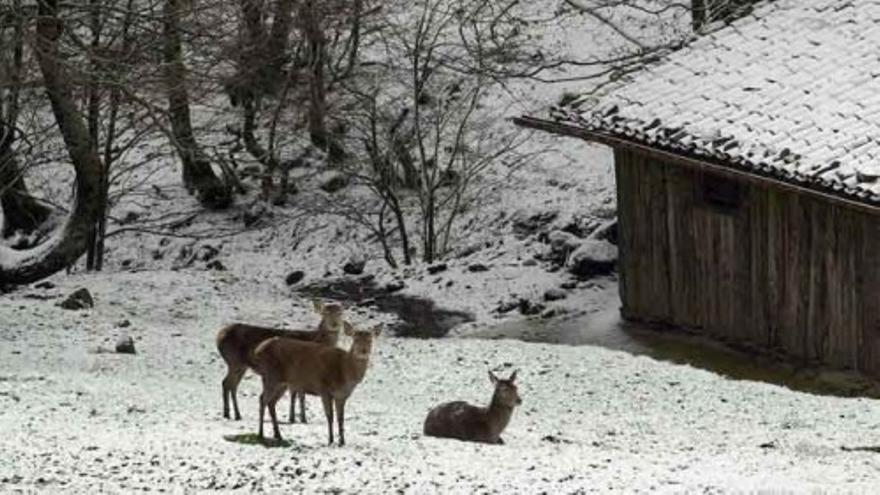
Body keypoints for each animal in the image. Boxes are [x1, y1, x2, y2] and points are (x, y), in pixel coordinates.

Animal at [217, 302, 348, 422]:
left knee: (230, 384)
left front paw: (294, 417)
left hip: (241, 365)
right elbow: (299, 394)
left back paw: (232, 414)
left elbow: (297, 394)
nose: (334, 324)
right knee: (228, 383)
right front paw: (299, 418)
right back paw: (231, 414)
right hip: (234, 361)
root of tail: (218, 337)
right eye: (325, 313)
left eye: (340, 313)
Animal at [251, 324, 382, 448]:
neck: (344, 371)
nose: (363, 351)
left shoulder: (342, 396)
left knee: (271, 402)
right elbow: (330, 416)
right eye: (355, 339)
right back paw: (260, 434)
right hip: (271, 376)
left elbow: (341, 418)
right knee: (262, 399)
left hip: (282, 383)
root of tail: (259, 349)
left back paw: (278, 435)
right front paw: (330, 440)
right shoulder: (324, 390)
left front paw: (342, 442)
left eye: (370, 339)